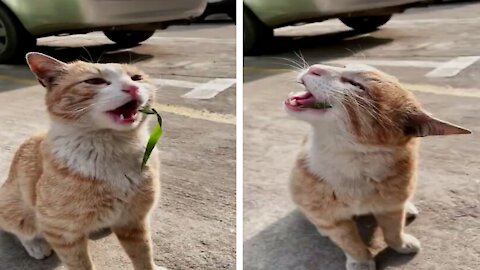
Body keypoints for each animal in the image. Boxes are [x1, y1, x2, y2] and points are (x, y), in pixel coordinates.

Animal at [0, 52, 165, 270]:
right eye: (95, 81)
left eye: (136, 78)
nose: (132, 87)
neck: (113, 150)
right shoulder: (61, 233)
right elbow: (80, 264)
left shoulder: (133, 219)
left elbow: (143, 253)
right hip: (16, 208)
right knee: (19, 229)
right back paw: (36, 245)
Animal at [284, 63, 468, 270]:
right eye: (343, 65)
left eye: (356, 85)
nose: (315, 67)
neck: (353, 163)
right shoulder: (332, 220)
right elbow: (351, 243)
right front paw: (361, 262)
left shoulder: (390, 209)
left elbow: (393, 232)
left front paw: (400, 244)